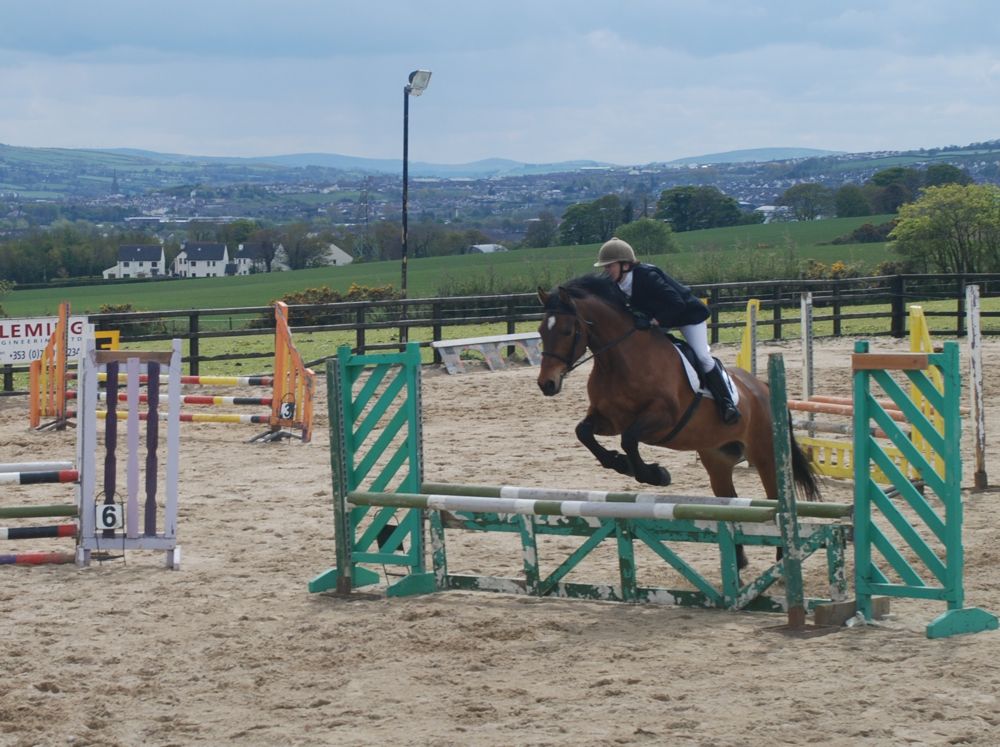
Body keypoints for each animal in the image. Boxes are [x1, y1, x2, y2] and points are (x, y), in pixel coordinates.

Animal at [536, 274, 820, 568]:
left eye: (567, 331)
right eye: (541, 332)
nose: (547, 384)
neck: (619, 360)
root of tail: (763, 387)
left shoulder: (663, 418)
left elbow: (629, 439)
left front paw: (654, 474)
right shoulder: (608, 419)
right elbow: (583, 432)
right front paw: (618, 463)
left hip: (765, 453)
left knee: (775, 497)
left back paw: (781, 557)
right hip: (717, 457)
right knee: (729, 500)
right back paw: (738, 560)